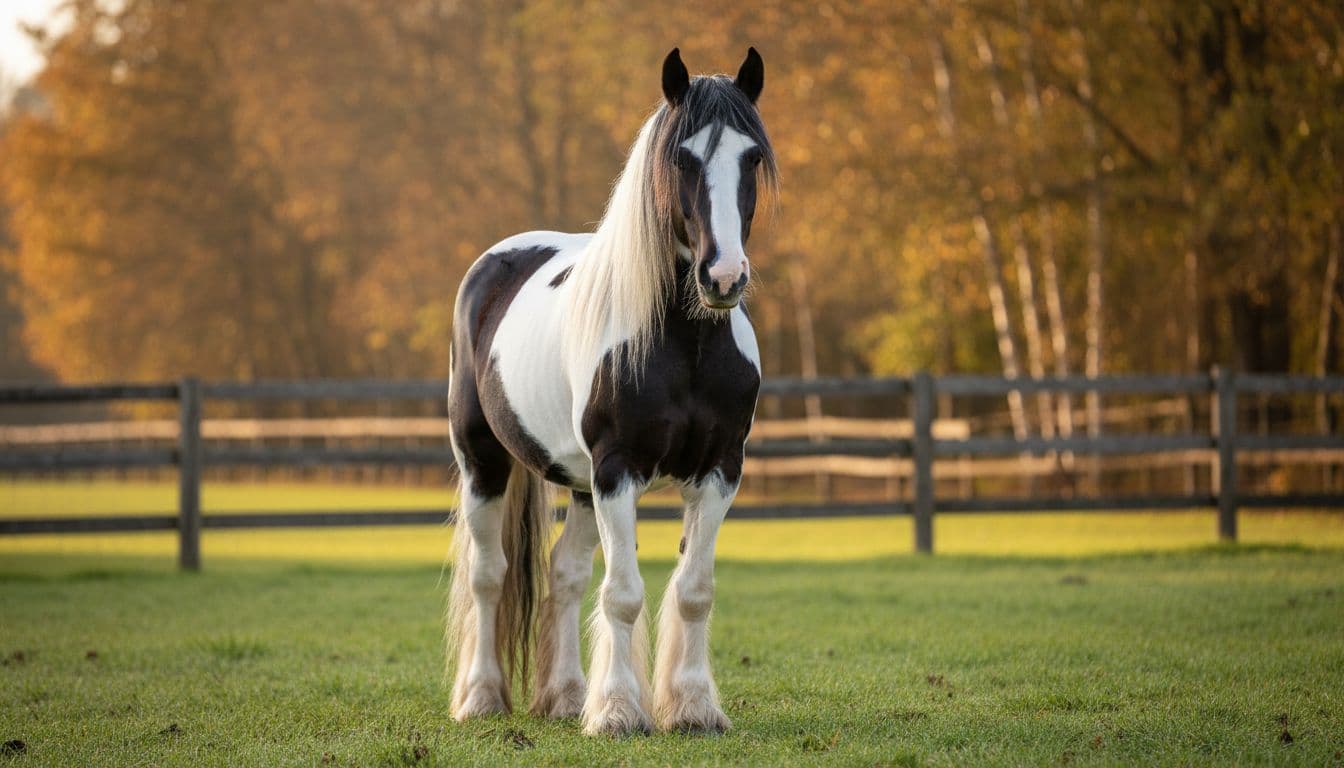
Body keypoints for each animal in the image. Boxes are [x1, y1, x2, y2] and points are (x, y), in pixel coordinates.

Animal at [445, 46, 777, 737]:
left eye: (753, 157)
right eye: (681, 158)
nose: (723, 277)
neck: (685, 346)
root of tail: (495, 262)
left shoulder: (719, 470)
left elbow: (693, 591)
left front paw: (693, 707)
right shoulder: (618, 470)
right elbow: (623, 594)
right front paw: (621, 712)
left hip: (576, 482)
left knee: (565, 576)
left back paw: (568, 696)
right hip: (483, 462)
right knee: (490, 576)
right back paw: (482, 696)